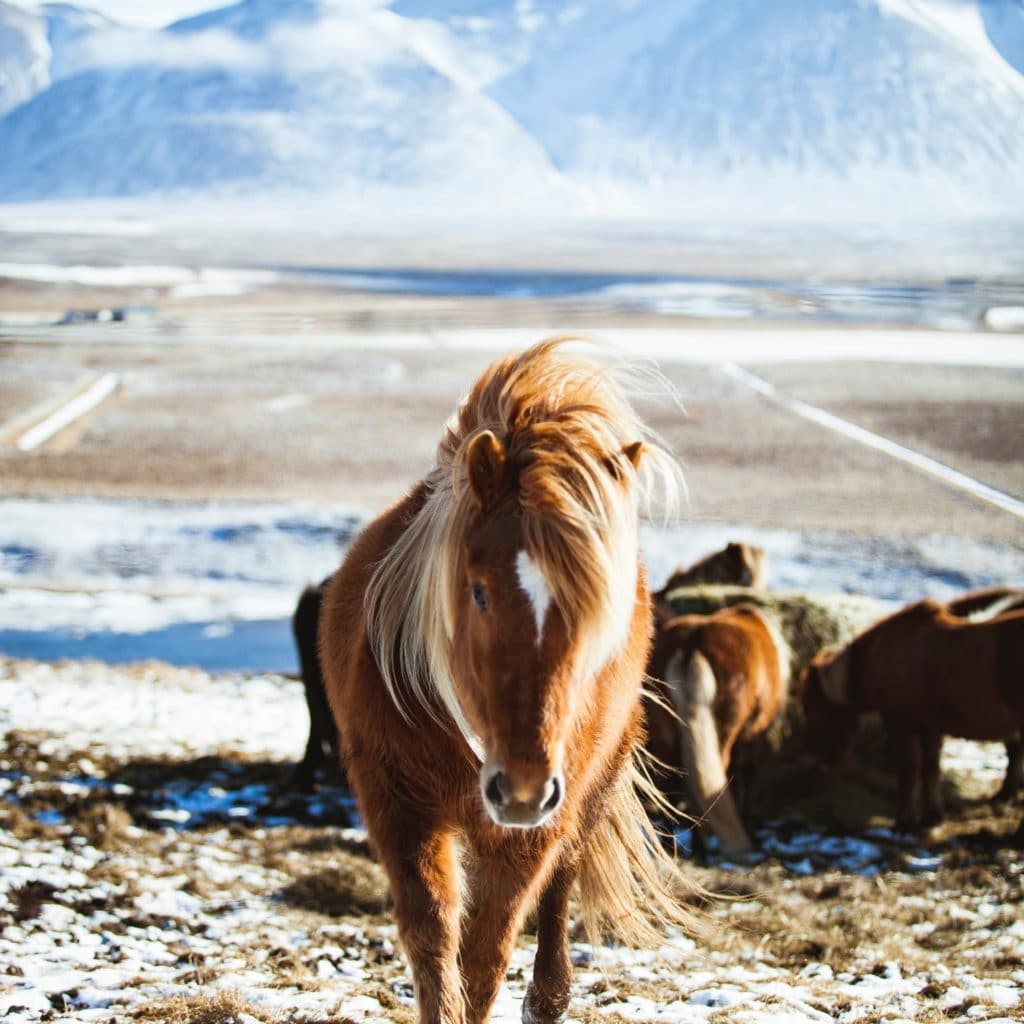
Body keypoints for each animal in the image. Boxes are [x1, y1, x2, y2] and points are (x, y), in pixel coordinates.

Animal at [319, 342, 704, 1024]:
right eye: (478, 591)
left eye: (596, 612)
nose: (521, 786)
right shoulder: (395, 802)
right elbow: (433, 937)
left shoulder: (533, 828)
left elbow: (487, 953)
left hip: (587, 788)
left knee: (561, 884)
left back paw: (549, 997)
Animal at [647, 602, 782, 851]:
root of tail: (690, 645)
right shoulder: (753, 734)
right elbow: (746, 773)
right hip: (722, 735)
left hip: (666, 737)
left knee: (671, 784)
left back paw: (672, 845)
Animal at [798, 598, 1024, 827]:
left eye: (812, 707)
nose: (809, 759)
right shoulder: (930, 725)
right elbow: (930, 768)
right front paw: (932, 815)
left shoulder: (901, 721)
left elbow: (909, 769)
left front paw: (904, 821)